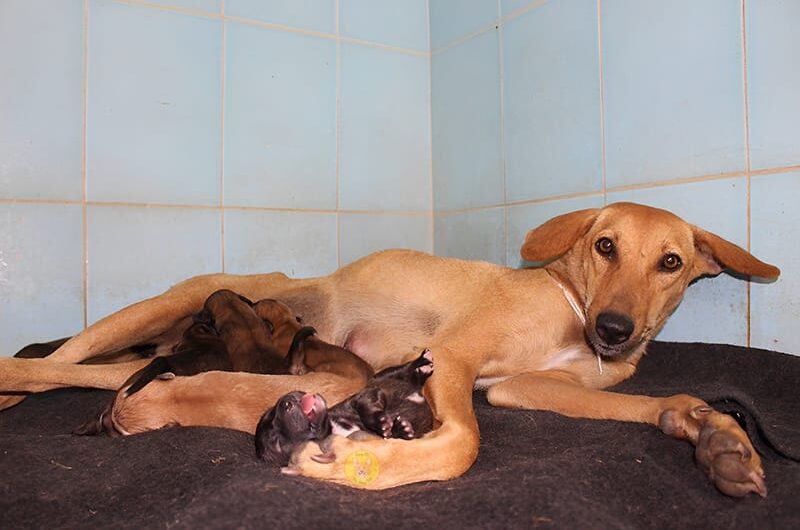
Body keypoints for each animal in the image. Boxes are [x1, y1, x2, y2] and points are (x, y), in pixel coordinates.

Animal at [255, 348, 432, 464]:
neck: (335, 428)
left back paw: (422, 363)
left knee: (404, 371)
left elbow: (364, 406)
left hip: (381, 376)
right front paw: (397, 427)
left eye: (272, 411)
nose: (286, 402)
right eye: (275, 441)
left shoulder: (360, 397)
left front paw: (380, 422)